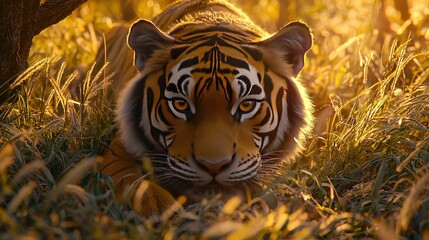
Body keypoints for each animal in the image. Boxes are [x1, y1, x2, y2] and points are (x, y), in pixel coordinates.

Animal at [96, 0, 310, 216]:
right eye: (180, 104)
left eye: (246, 105)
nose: (213, 166)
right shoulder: (118, 149)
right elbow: (131, 179)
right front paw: (156, 207)